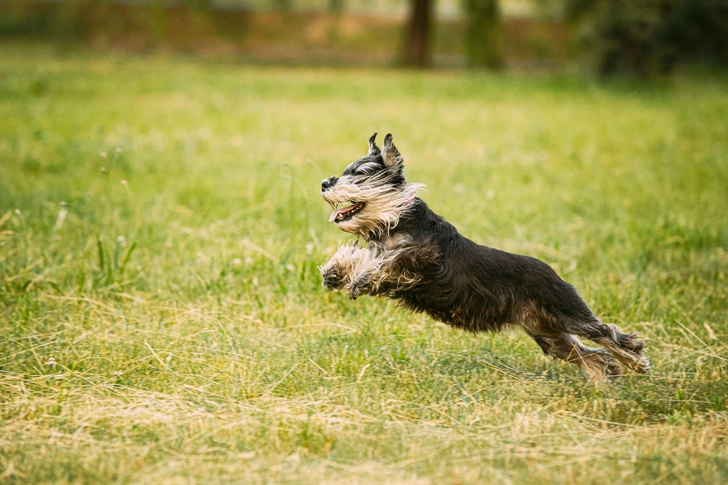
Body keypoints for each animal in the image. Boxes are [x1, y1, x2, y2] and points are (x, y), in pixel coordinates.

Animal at [318, 132, 648, 378]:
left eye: (359, 174)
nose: (324, 183)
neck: (396, 218)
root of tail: (555, 273)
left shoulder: (421, 257)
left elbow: (386, 264)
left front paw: (360, 279)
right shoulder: (384, 249)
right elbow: (359, 256)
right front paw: (336, 271)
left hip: (566, 312)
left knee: (606, 333)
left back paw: (635, 360)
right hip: (549, 334)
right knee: (590, 355)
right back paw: (606, 376)